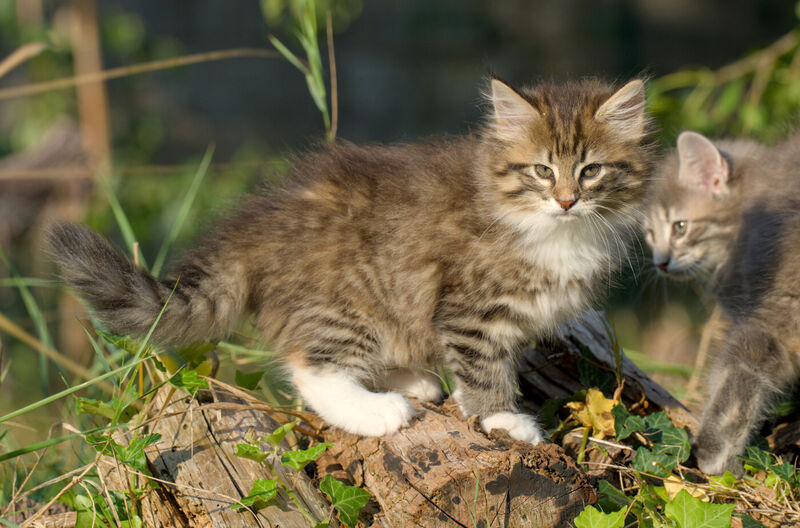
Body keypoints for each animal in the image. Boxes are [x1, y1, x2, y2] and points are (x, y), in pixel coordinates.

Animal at [50, 77, 652, 442]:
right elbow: (484, 366)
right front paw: (503, 417)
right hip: (343, 302)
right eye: (542, 171)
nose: (567, 200)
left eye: (591, 171)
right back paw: (377, 410)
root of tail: (256, 223)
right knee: (311, 367)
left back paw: (409, 382)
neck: (553, 231)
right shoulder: (470, 309)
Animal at [644, 131, 800, 474]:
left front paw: (713, 457)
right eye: (649, 234)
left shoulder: (773, 318)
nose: (660, 263)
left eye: (680, 227)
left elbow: (732, 382)